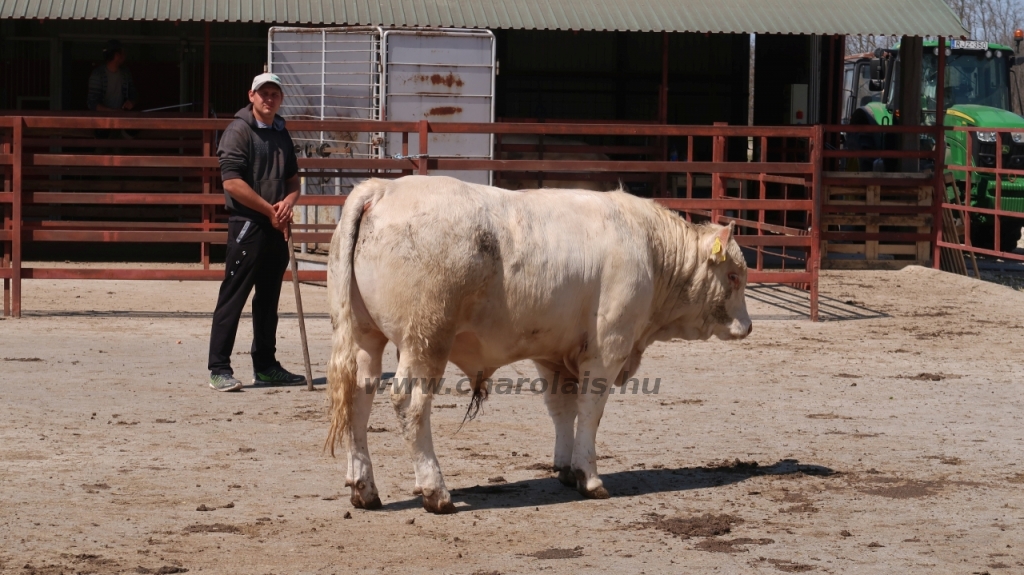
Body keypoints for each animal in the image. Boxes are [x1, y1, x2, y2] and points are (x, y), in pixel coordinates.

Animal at [327, 173, 753, 509]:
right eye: (733, 276)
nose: (747, 326)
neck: (650, 249)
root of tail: (382, 188)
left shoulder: (552, 354)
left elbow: (562, 409)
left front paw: (565, 468)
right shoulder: (607, 349)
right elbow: (591, 411)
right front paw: (589, 477)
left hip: (366, 336)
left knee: (359, 396)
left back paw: (364, 488)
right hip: (425, 339)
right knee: (410, 402)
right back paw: (435, 491)